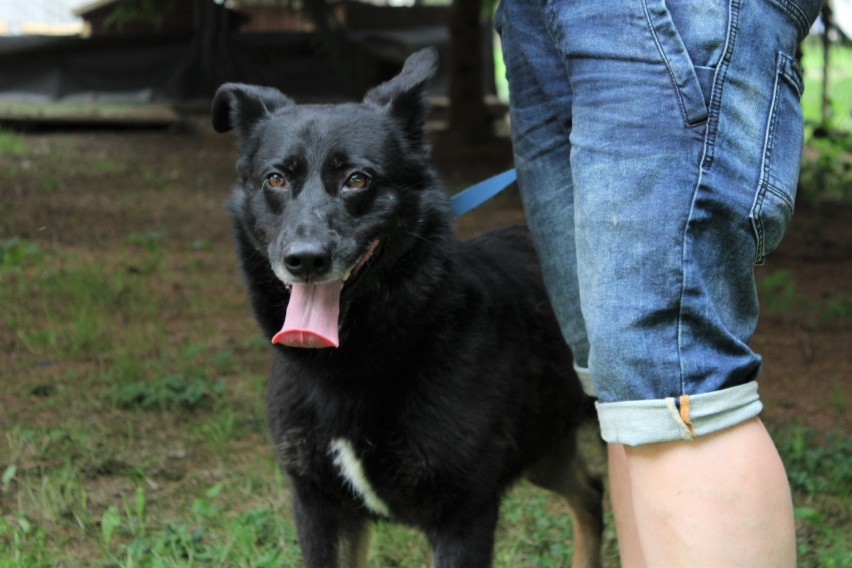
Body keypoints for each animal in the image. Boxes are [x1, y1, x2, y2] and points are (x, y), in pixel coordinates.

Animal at [211, 48, 604, 568]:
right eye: (275, 178)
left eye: (357, 180)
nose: (305, 260)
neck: (353, 368)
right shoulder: (320, 507)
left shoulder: (462, 520)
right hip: (545, 448)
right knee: (591, 494)